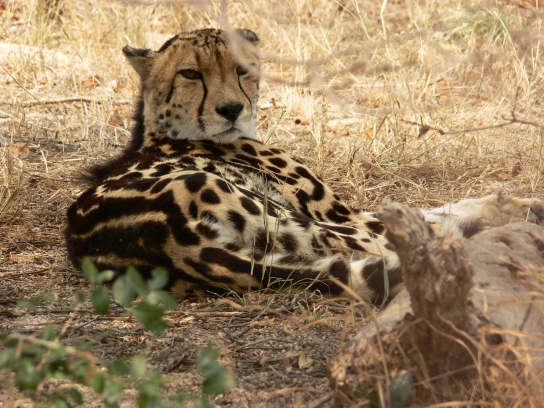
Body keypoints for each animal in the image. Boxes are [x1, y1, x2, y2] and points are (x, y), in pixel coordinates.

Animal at [65, 28, 544, 305]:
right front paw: (518, 210)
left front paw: (513, 203)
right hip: (296, 222)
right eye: (190, 74)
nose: (231, 109)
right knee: (396, 245)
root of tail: (161, 243)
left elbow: (436, 208)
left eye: (243, 69)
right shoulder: (342, 214)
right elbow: (428, 217)